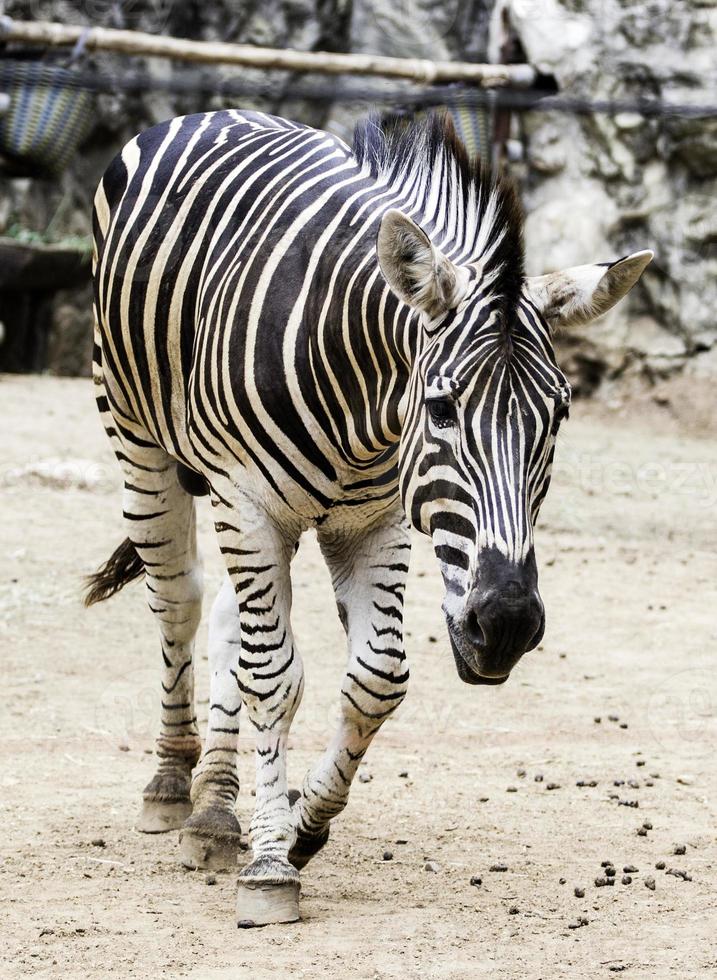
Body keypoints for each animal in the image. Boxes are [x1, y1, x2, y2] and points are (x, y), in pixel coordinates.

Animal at [84, 109, 648, 928]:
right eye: (441, 409)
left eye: (559, 416)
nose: (506, 623)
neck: (365, 402)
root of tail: (212, 112)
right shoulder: (249, 503)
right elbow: (273, 677)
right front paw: (268, 868)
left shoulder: (374, 522)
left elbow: (376, 679)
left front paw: (298, 828)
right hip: (139, 439)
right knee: (179, 600)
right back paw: (171, 783)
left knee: (225, 615)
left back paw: (216, 810)